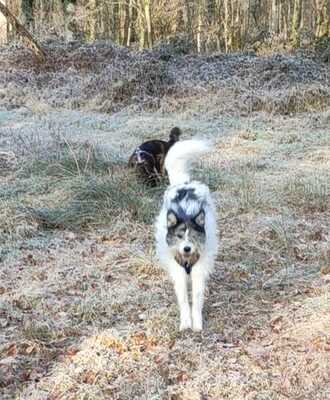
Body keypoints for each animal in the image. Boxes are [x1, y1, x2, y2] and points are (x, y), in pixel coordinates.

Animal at [155, 141, 218, 332]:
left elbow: (196, 298)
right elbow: (183, 299)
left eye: (194, 236)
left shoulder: (198, 270)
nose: (187, 248)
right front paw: (185, 322)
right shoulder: (179, 272)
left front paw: (196, 323)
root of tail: (184, 183)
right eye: (179, 236)